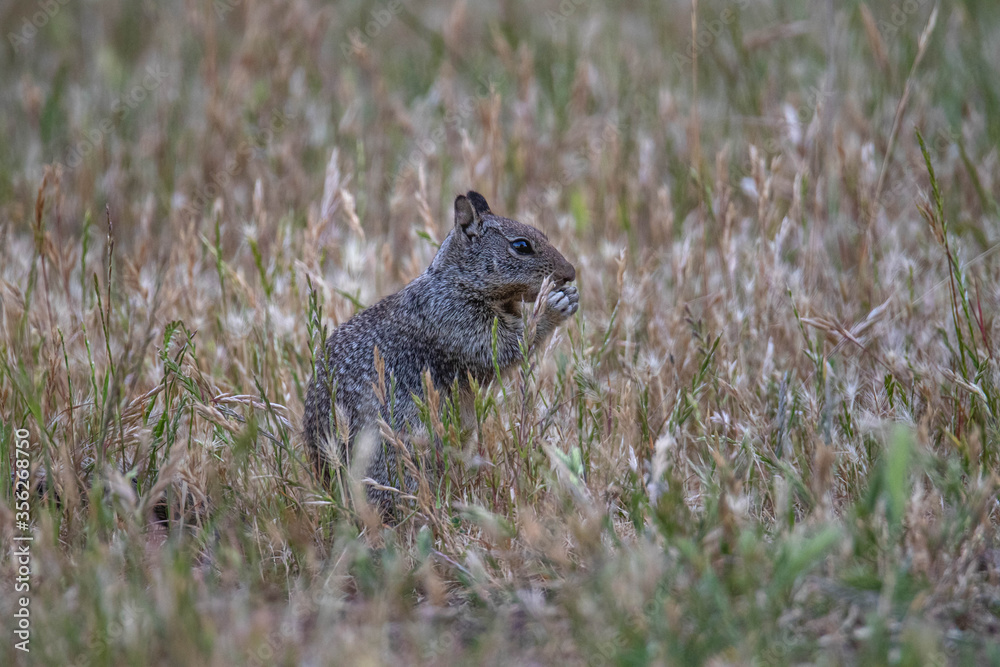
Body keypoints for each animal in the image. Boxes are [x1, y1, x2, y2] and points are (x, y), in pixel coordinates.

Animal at [302, 191, 578, 515]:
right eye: (521, 246)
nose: (570, 274)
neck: (455, 283)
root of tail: (330, 485)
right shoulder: (458, 325)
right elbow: (504, 349)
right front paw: (554, 306)